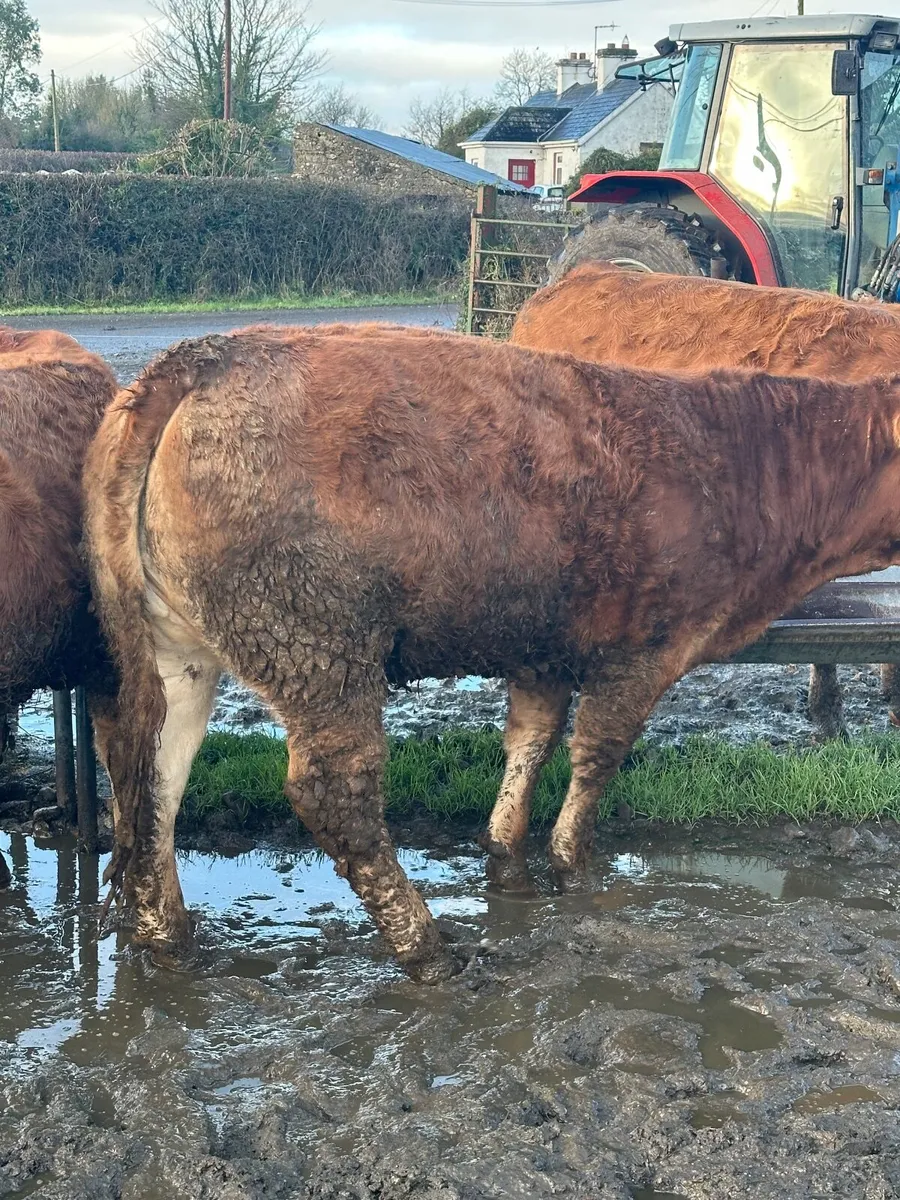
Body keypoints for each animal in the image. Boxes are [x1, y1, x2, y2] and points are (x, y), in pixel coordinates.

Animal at [84, 322, 900, 982]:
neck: (744, 463)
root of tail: (207, 357)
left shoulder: (543, 646)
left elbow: (530, 743)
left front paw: (507, 861)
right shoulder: (642, 650)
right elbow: (596, 759)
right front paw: (574, 872)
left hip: (179, 655)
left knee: (151, 780)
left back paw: (170, 941)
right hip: (318, 642)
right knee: (335, 795)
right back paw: (426, 950)